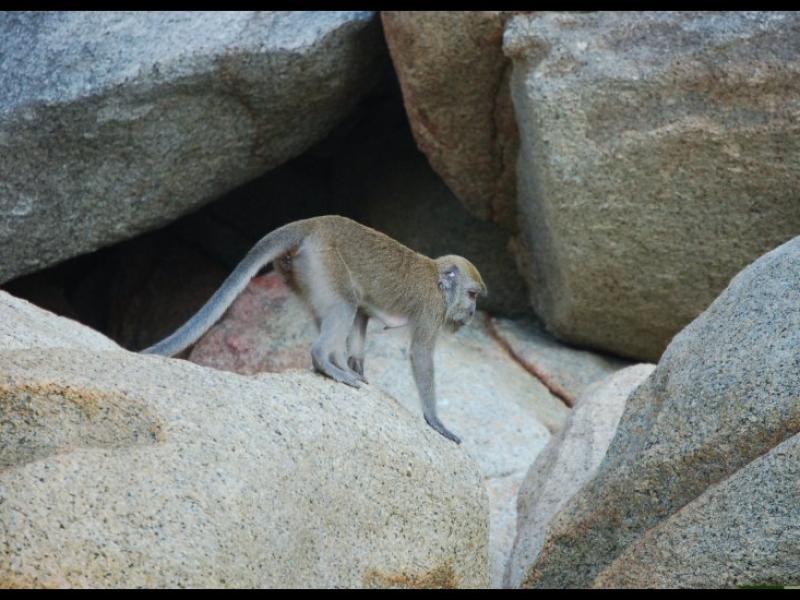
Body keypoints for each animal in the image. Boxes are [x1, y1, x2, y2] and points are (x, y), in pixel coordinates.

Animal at [142, 215, 487, 444]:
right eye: (472, 295)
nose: (472, 314)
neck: (438, 281)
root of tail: (313, 223)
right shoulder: (431, 309)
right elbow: (420, 355)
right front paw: (435, 421)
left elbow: (362, 318)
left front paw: (357, 367)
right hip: (323, 261)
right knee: (344, 305)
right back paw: (325, 361)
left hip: (299, 271)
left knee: (343, 308)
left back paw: (335, 364)